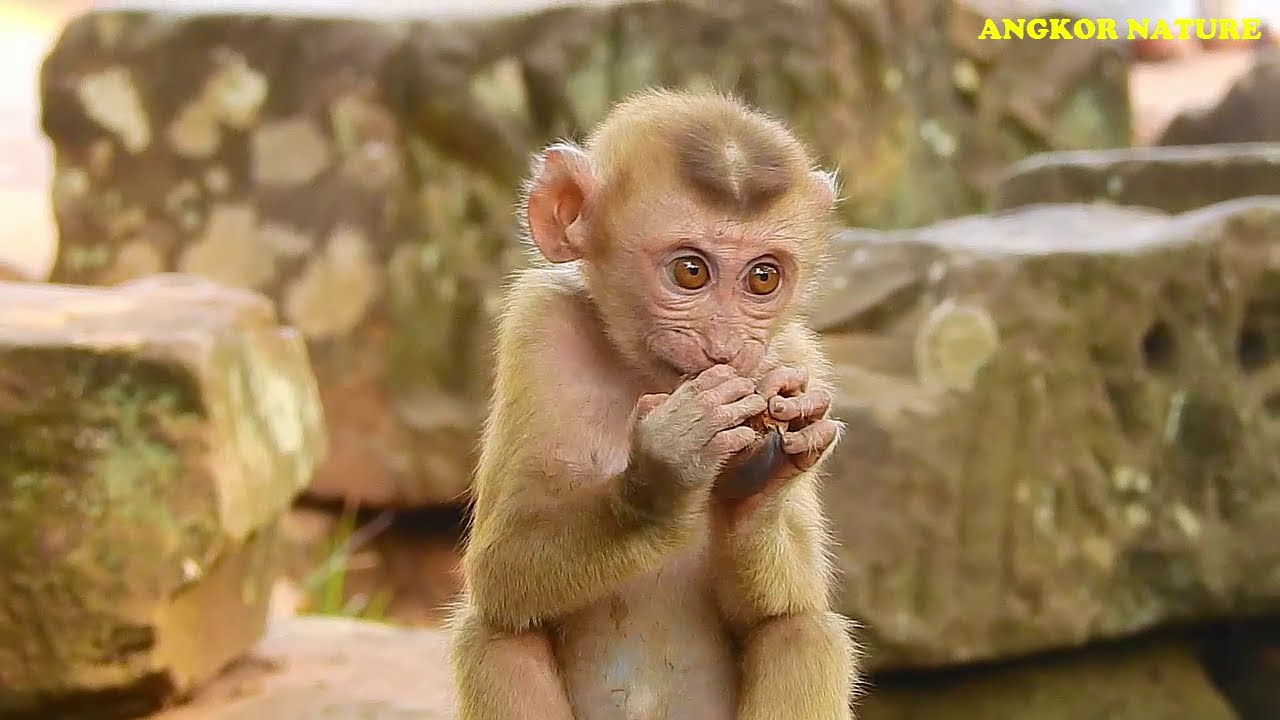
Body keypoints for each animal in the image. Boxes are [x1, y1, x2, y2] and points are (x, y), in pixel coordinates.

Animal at [447, 88, 859, 720]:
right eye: (690, 270)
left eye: (763, 278)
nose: (724, 345)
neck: (644, 376)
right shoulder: (537, 328)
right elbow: (499, 570)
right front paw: (665, 476)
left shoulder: (796, 355)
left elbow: (783, 606)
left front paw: (762, 483)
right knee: (496, 638)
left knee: (804, 633)